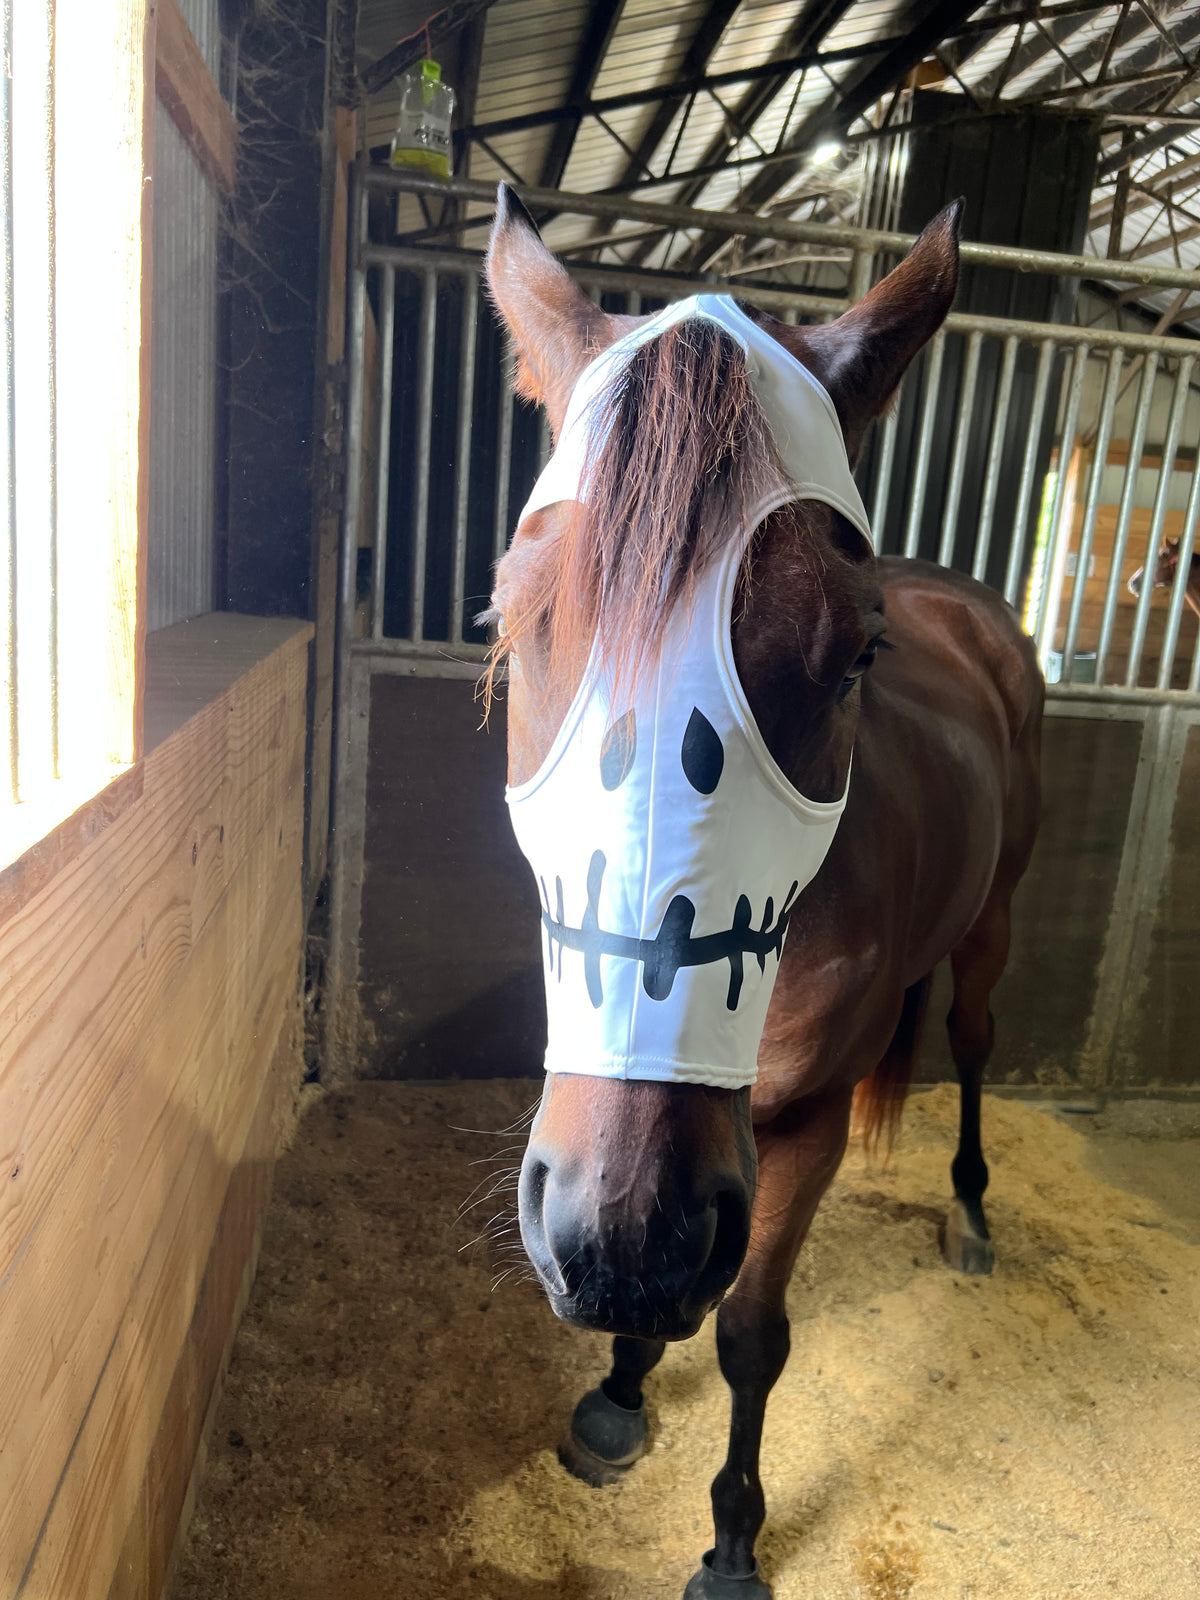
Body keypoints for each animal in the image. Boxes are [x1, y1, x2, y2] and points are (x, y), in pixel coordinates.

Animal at [484, 184, 1043, 1600]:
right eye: (508, 624)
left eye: (855, 655)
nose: (622, 1236)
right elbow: (671, 1316)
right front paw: (620, 1387)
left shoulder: (798, 1131)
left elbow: (747, 1330)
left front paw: (734, 1537)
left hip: (994, 925)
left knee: (971, 1037)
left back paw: (970, 1208)